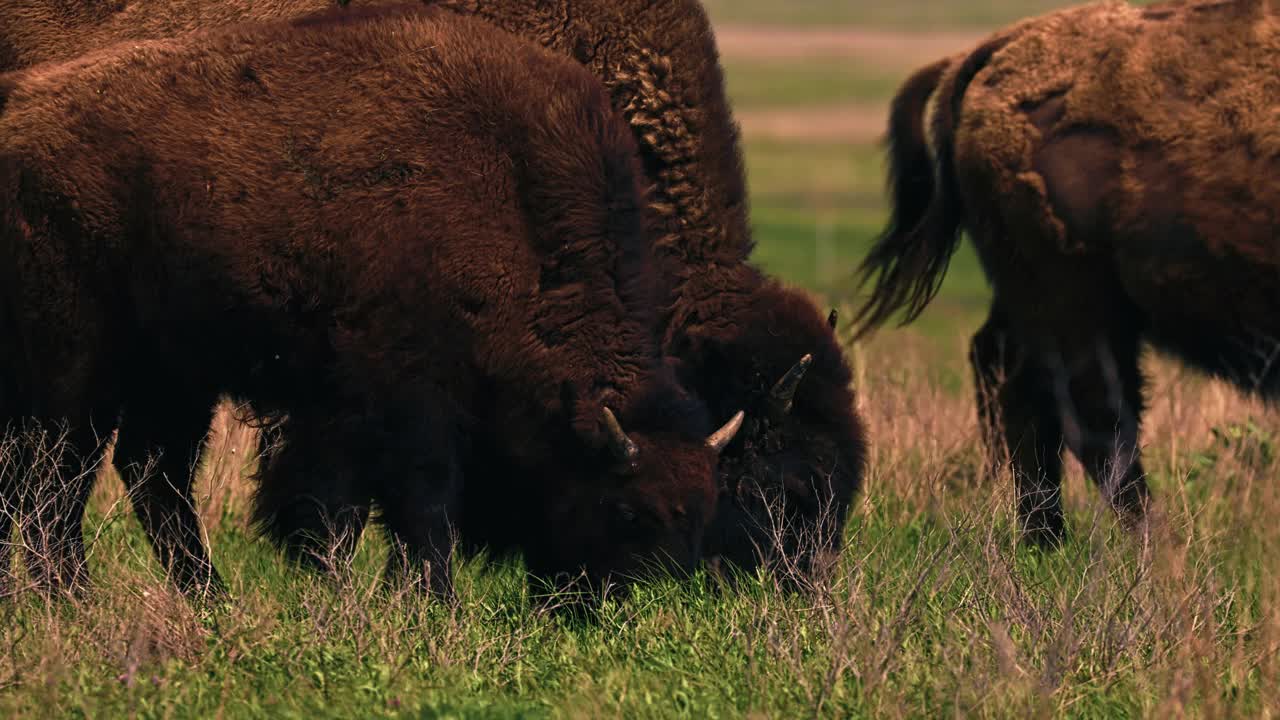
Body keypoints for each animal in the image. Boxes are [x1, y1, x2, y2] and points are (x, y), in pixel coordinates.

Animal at [849, 0, 1280, 543]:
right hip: (1075, 300)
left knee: (1021, 388)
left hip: (1035, 295)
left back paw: (1047, 539)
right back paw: (1155, 547)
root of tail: (992, 48)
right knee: (1095, 419)